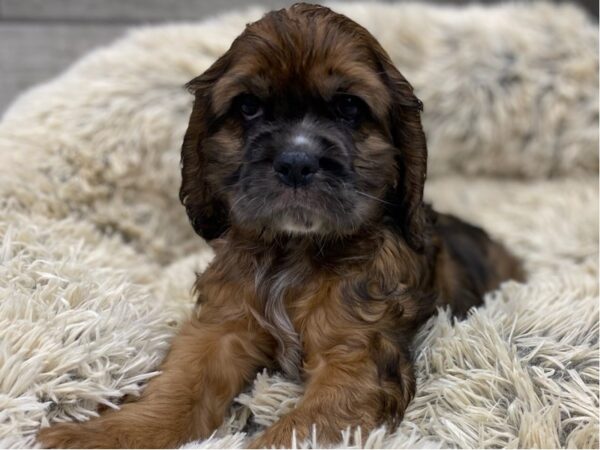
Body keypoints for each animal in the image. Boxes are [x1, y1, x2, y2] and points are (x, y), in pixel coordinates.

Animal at [39, 4, 524, 450]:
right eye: (249, 107)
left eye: (349, 107)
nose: (295, 162)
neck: (295, 251)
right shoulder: (220, 329)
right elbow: (177, 387)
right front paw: (95, 435)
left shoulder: (358, 358)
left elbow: (293, 432)